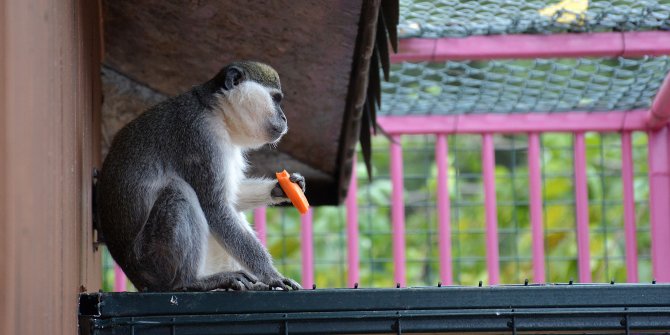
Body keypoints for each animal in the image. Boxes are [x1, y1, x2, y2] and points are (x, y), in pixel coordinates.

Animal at [99, 61, 304, 292]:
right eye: (276, 99)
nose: (284, 118)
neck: (217, 112)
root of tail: (138, 279)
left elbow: (231, 199)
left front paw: (282, 188)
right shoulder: (200, 137)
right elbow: (214, 207)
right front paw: (271, 275)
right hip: (152, 261)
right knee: (178, 191)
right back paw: (190, 282)